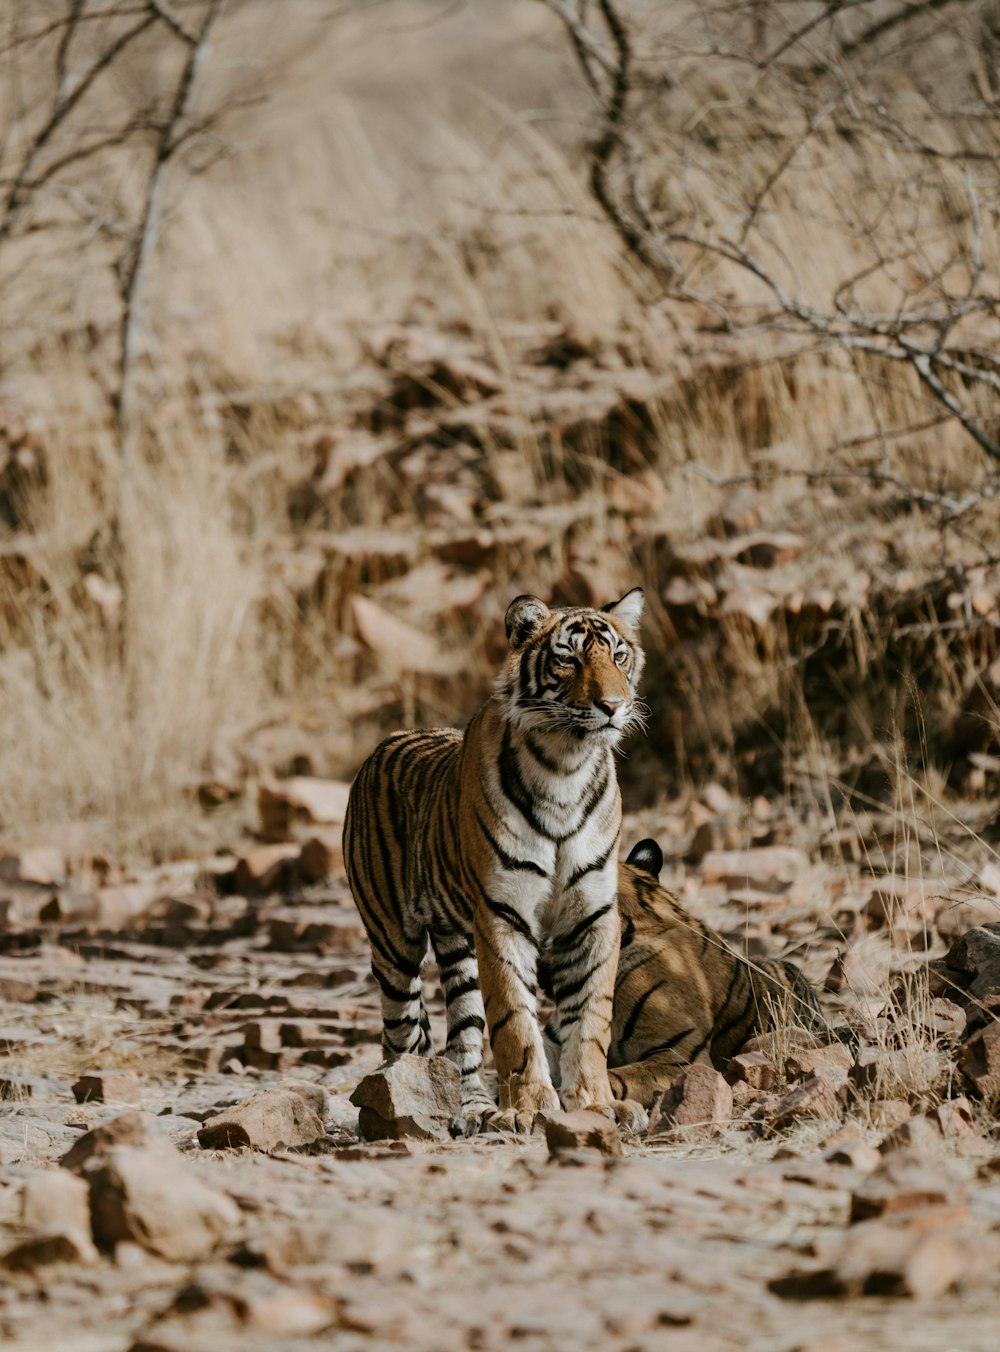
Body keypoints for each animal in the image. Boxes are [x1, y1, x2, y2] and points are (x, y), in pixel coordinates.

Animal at [343, 589, 648, 1130]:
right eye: (568, 659)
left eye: (618, 656)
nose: (612, 706)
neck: (567, 766)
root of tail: (381, 746)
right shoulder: (503, 914)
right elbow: (515, 1022)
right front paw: (531, 1109)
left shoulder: (592, 914)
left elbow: (591, 1018)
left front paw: (596, 1103)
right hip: (394, 946)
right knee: (399, 1036)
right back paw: (400, 1111)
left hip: (458, 947)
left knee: (462, 1037)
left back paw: (476, 1111)